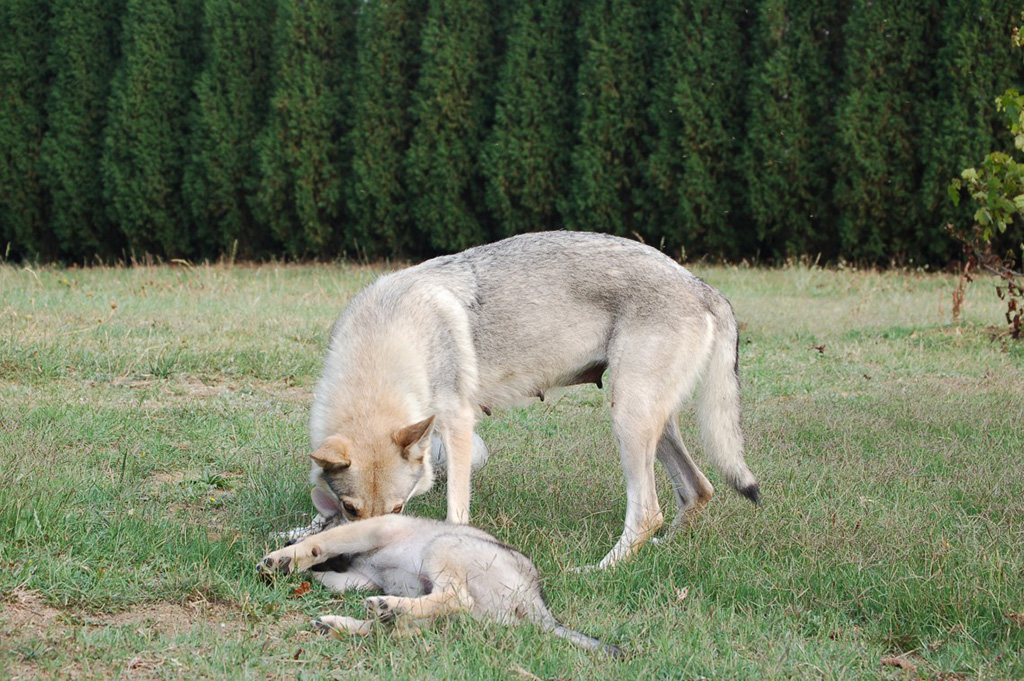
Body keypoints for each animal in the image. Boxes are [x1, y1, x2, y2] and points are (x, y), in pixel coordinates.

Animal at [260, 512, 618, 655]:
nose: (287, 537)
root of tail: (536, 604)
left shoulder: (374, 530)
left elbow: (323, 542)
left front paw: (285, 557)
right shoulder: (360, 578)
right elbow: (333, 578)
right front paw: (305, 569)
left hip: (443, 547)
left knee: (456, 596)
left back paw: (386, 607)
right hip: (450, 617)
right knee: (398, 629)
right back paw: (351, 621)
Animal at [307, 231, 757, 565]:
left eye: (399, 510)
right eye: (351, 510)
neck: (385, 335)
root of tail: (702, 287)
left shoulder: (457, 424)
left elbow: (456, 511)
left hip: (630, 419)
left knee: (648, 514)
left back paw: (599, 569)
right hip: (653, 425)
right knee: (698, 490)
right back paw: (661, 550)